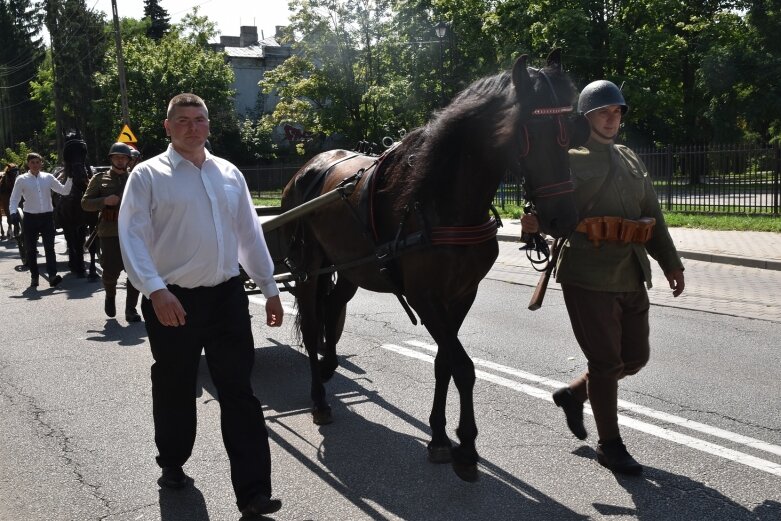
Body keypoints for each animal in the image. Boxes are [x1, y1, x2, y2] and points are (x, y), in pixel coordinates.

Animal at [278, 50, 588, 482]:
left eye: (571, 131)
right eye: (531, 131)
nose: (563, 218)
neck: (442, 199)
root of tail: (310, 165)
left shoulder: (460, 294)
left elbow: (444, 362)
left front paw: (440, 436)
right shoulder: (425, 297)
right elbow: (464, 366)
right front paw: (467, 446)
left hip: (351, 268)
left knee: (332, 308)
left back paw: (329, 365)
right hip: (309, 267)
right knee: (310, 325)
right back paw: (319, 398)